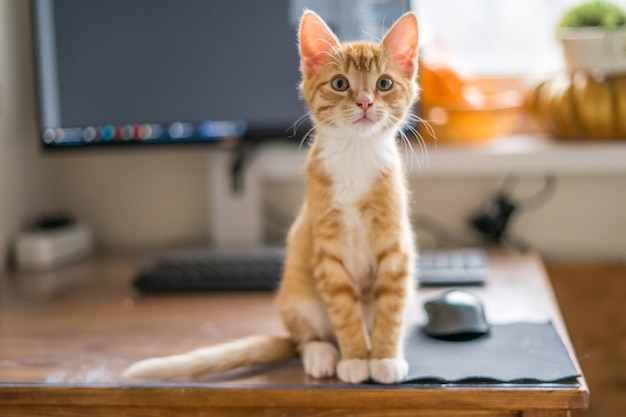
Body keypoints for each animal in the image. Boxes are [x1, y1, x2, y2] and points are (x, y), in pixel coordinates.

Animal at [123, 10, 416, 384]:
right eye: (339, 84)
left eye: (384, 84)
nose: (365, 102)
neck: (355, 155)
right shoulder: (327, 251)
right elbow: (343, 308)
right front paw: (354, 357)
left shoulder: (396, 248)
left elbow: (391, 308)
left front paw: (384, 357)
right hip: (297, 292)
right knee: (304, 338)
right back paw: (323, 353)